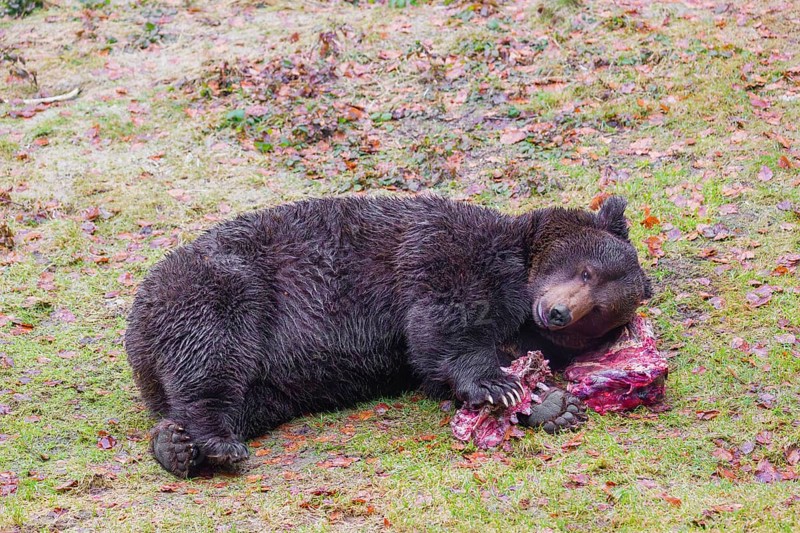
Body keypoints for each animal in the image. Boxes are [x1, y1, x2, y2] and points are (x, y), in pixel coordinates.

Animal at [125, 194, 652, 477]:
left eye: (598, 312)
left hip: (273, 380)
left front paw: (551, 404)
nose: (557, 312)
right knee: (212, 357)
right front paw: (500, 384)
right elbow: (442, 327)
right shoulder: (446, 253)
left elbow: (440, 371)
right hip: (221, 290)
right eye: (585, 271)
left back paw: (175, 442)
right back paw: (214, 442)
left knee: (244, 397)